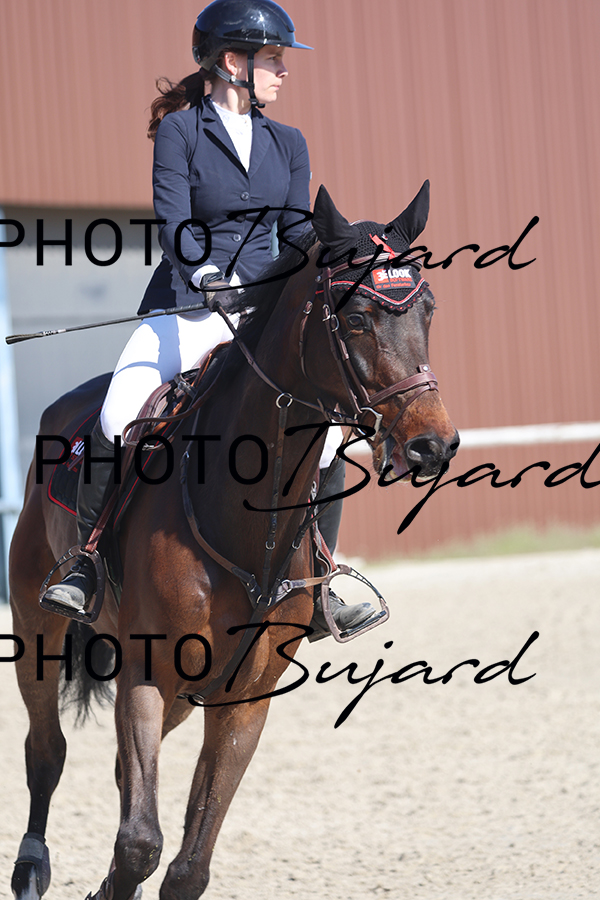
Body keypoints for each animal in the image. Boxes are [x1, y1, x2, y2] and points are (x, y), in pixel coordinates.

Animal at [9, 181, 459, 900]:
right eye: (356, 316)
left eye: (429, 308)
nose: (432, 446)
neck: (247, 522)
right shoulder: (144, 672)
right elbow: (140, 844)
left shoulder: (242, 697)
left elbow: (186, 863)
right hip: (34, 620)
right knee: (46, 750)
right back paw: (31, 867)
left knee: (121, 772)